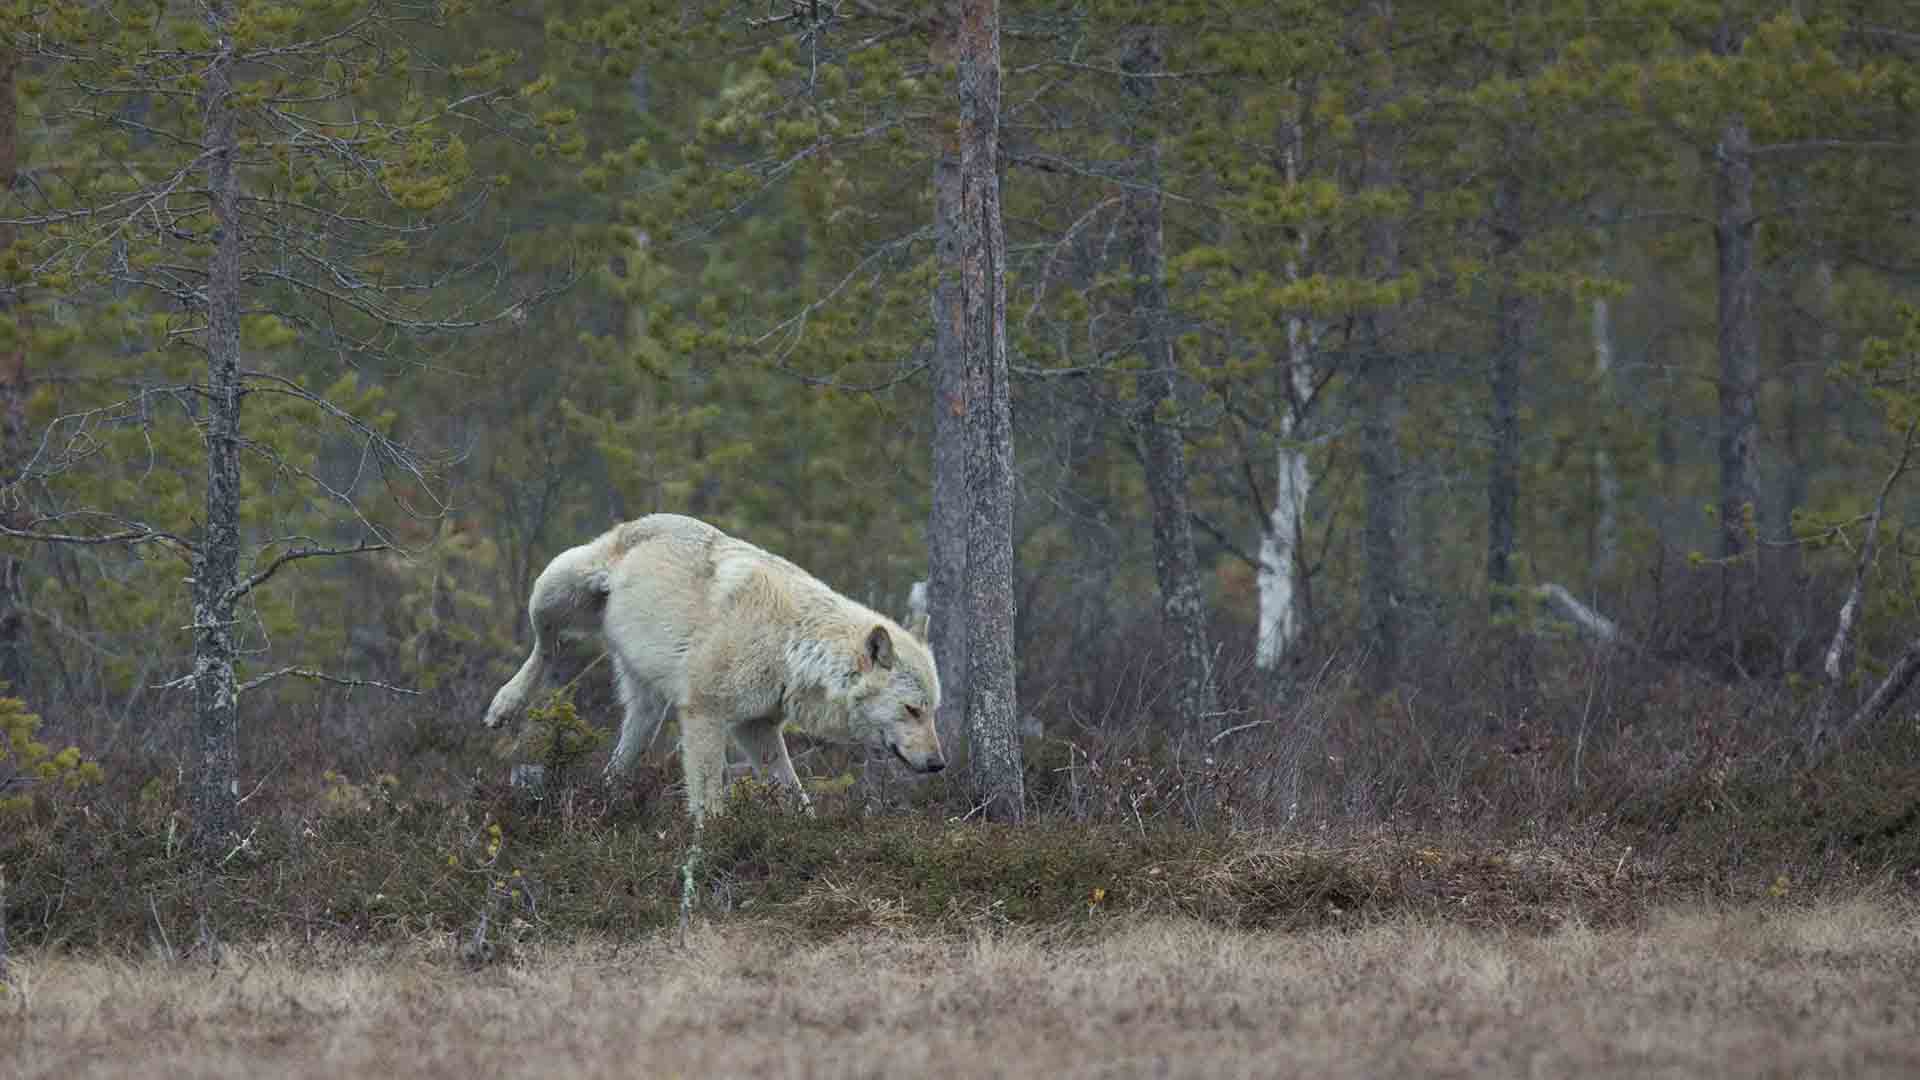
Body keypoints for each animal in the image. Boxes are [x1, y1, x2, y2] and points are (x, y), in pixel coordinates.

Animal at [484, 513, 945, 824]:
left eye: (932, 713)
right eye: (911, 710)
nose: (939, 764)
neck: (789, 647)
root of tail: (640, 520)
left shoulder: (756, 727)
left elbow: (794, 793)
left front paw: (808, 832)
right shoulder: (705, 715)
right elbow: (709, 798)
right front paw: (711, 846)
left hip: (648, 705)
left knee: (623, 750)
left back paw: (606, 797)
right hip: (554, 591)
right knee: (545, 646)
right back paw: (505, 704)